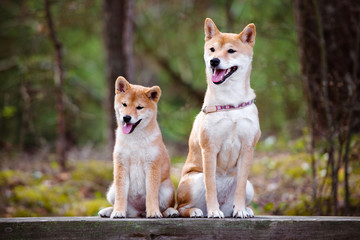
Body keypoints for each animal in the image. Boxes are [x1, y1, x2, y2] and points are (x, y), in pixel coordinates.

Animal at [98, 76, 179, 218]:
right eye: (124, 104)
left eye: (139, 107)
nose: (126, 117)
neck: (135, 140)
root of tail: (140, 212)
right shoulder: (121, 165)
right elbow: (120, 195)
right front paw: (118, 211)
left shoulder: (152, 165)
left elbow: (151, 194)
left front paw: (153, 212)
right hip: (111, 190)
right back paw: (109, 210)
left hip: (167, 189)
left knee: (165, 207)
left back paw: (169, 211)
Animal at [177, 18, 262, 218]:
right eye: (212, 49)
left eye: (231, 51)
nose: (214, 61)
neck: (230, 102)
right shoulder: (209, 147)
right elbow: (211, 187)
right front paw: (214, 211)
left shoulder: (247, 148)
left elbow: (239, 187)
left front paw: (240, 210)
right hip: (194, 180)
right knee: (180, 207)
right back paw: (193, 211)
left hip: (250, 186)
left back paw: (243, 209)